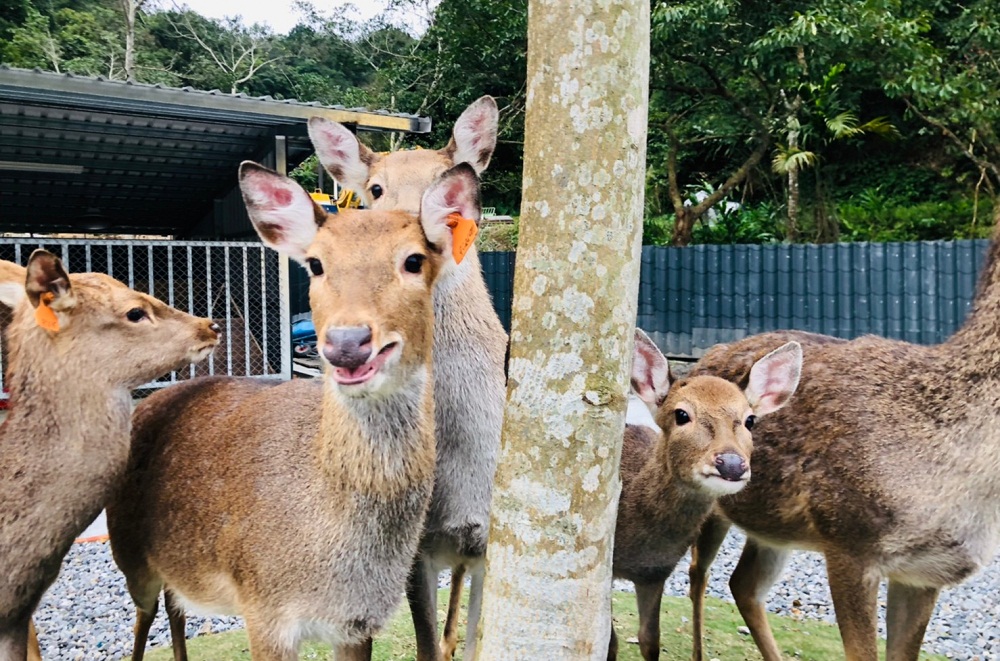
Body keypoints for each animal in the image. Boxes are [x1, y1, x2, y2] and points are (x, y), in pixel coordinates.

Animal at [107, 160, 482, 660]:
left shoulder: (356, 623)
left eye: (414, 260)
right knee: (143, 618)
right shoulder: (263, 608)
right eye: (316, 263)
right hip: (129, 555)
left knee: (176, 606)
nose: (347, 342)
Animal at [604, 330, 800, 660]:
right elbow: (610, 641)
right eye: (681, 414)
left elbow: (650, 640)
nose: (731, 463)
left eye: (749, 420)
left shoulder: (656, 574)